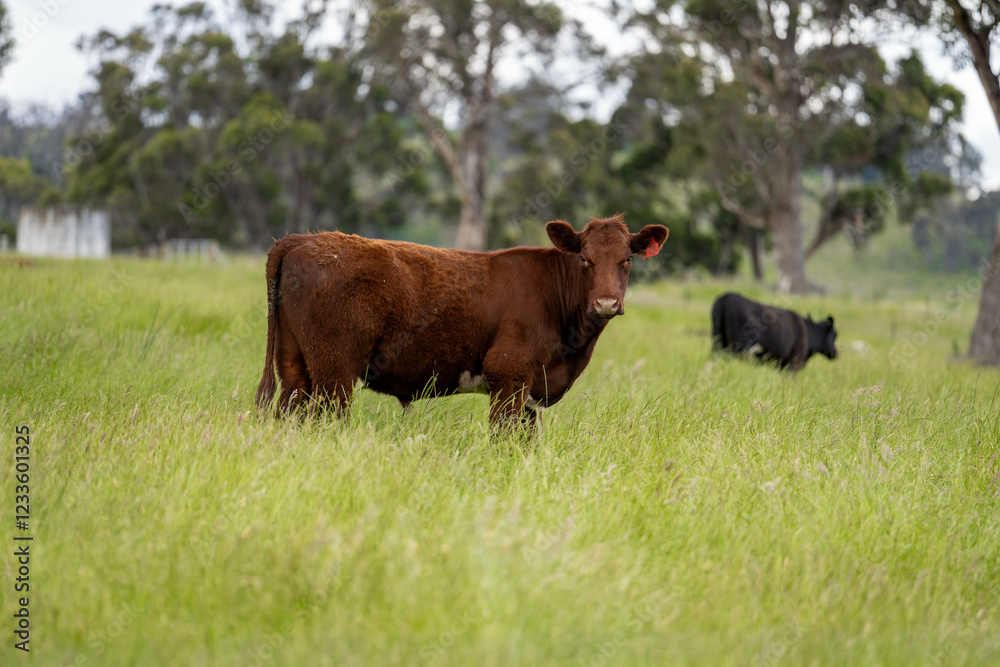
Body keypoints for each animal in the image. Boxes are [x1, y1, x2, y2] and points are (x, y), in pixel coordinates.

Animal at [255, 214, 669, 431]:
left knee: (288, 413)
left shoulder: (530, 392)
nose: (606, 302)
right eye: (584, 258)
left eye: (627, 260)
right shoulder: (509, 374)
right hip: (334, 371)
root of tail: (299, 240)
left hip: (295, 367)